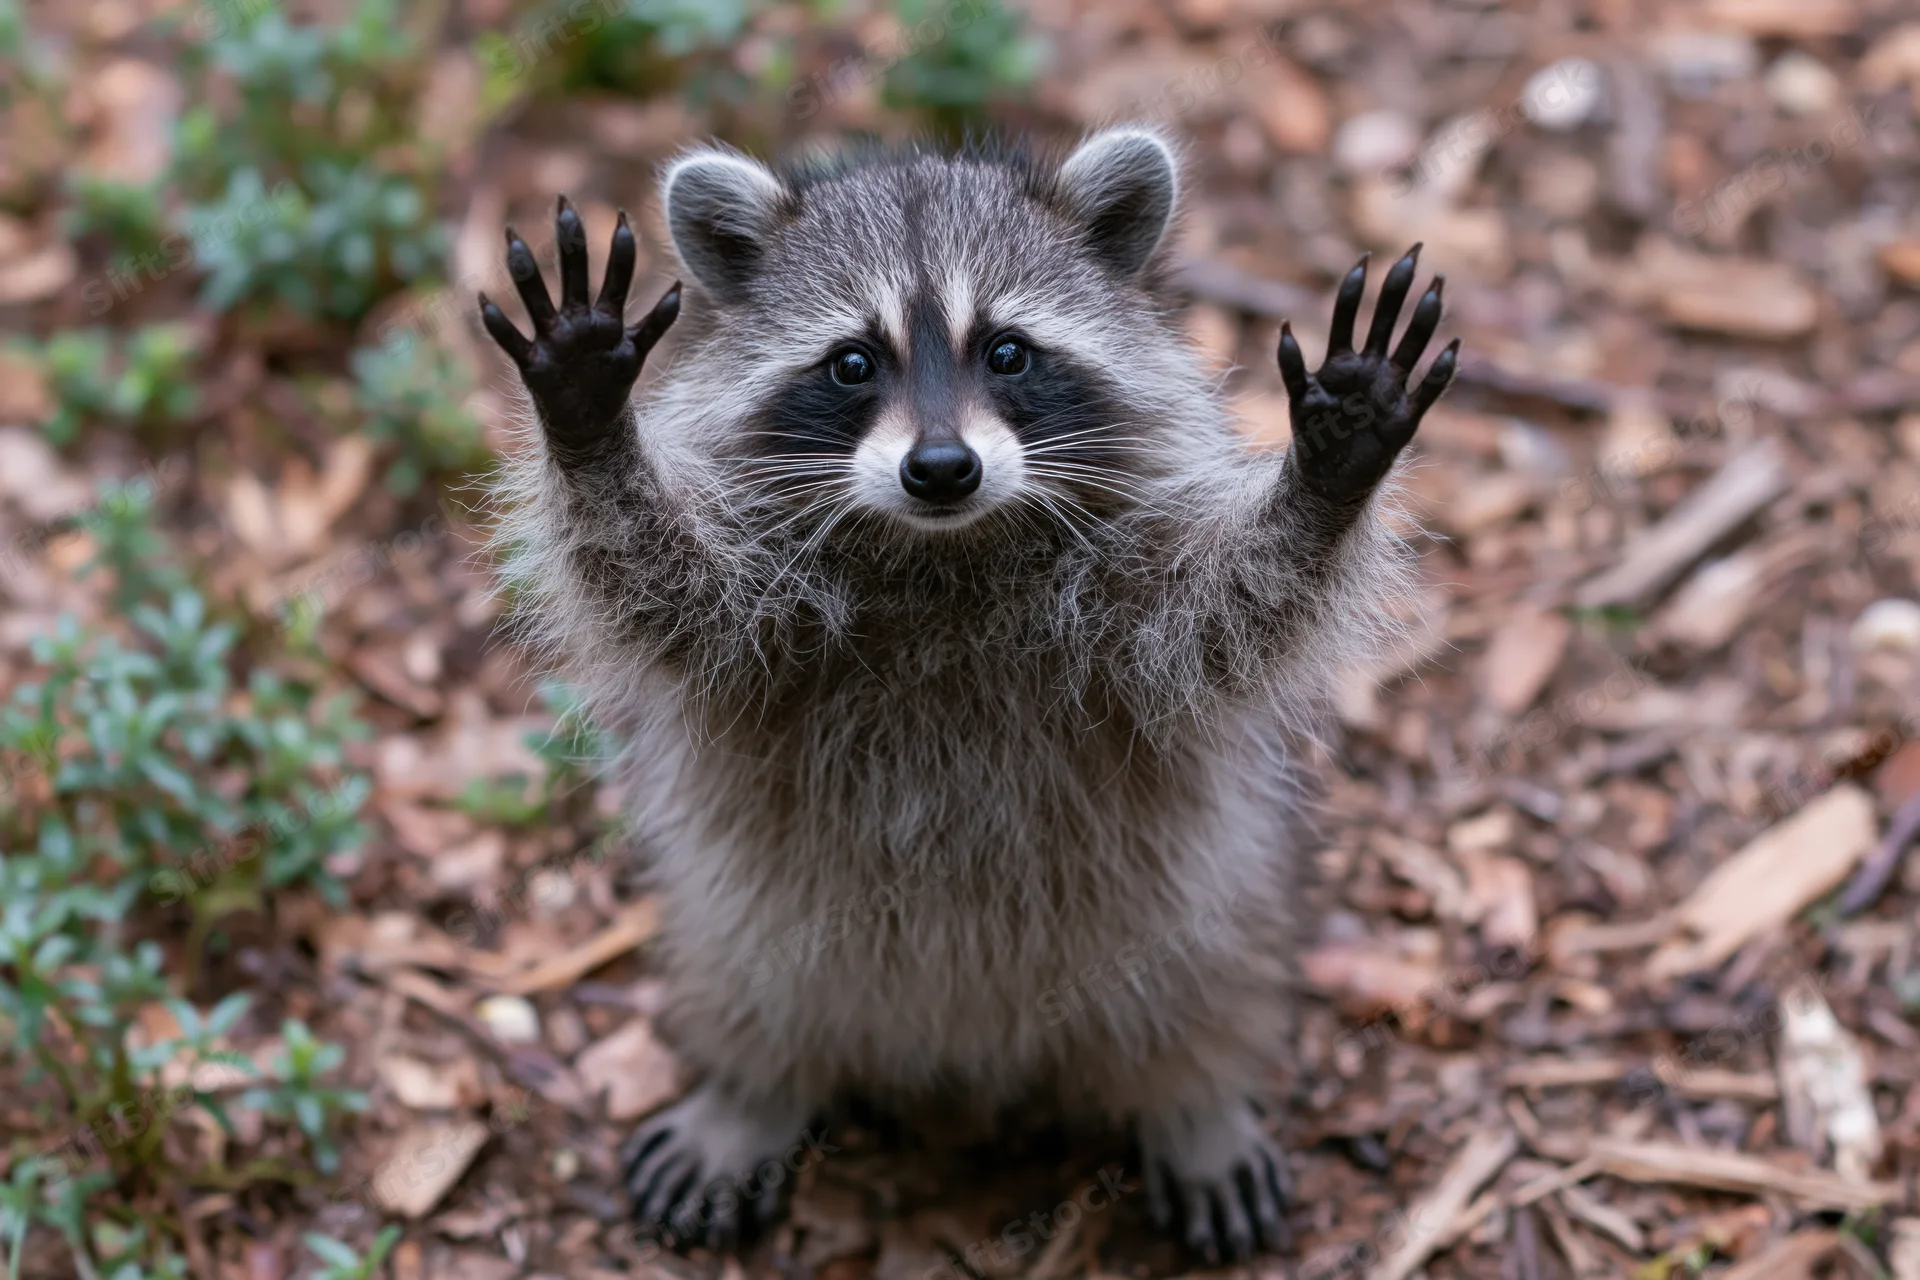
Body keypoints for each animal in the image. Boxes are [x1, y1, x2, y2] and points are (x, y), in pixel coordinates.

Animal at [478, 128, 1458, 1260]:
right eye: (854, 362)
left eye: (1008, 352)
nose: (941, 466)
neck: (945, 550)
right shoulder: (765, 626)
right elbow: (655, 585)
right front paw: (590, 428)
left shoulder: (1130, 620)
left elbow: (1234, 610)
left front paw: (1331, 471)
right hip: (744, 912)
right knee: (750, 979)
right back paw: (749, 1092)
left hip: (1216, 891)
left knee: (1209, 980)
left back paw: (1195, 1105)